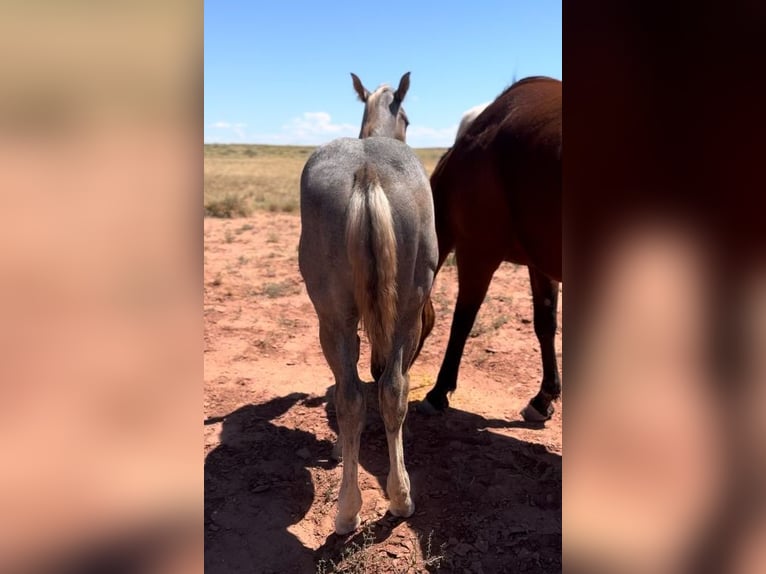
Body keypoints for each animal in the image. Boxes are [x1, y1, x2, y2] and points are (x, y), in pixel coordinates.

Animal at [298, 74, 438, 536]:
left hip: (335, 321)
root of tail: (367, 170)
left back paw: (351, 510)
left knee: (354, 396)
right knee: (387, 391)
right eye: (408, 118)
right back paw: (395, 500)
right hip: (404, 312)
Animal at [420, 77, 564, 424]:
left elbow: (463, 319)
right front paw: (543, 399)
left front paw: (438, 392)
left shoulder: (477, 251)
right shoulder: (539, 263)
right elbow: (545, 323)